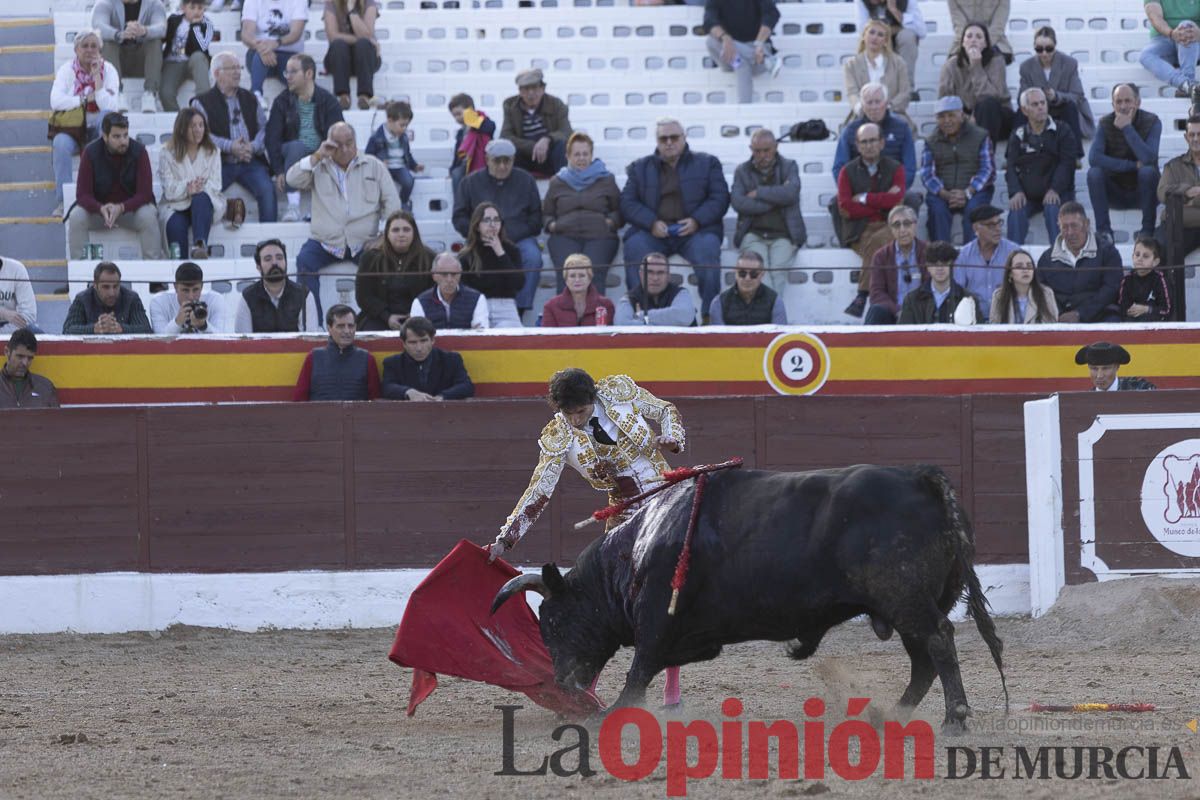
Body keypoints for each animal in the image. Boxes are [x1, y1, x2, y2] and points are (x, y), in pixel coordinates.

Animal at [492, 462, 1008, 734]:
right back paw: (893, 715)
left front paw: (617, 711)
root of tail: (921, 477)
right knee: (924, 658)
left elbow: (641, 666)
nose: (564, 682)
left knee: (938, 641)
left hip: (906, 597)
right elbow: (658, 662)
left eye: (553, 621)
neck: (634, 551)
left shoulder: (656, 620)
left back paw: (955, 718)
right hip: (911, 604)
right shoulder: (691, 634)